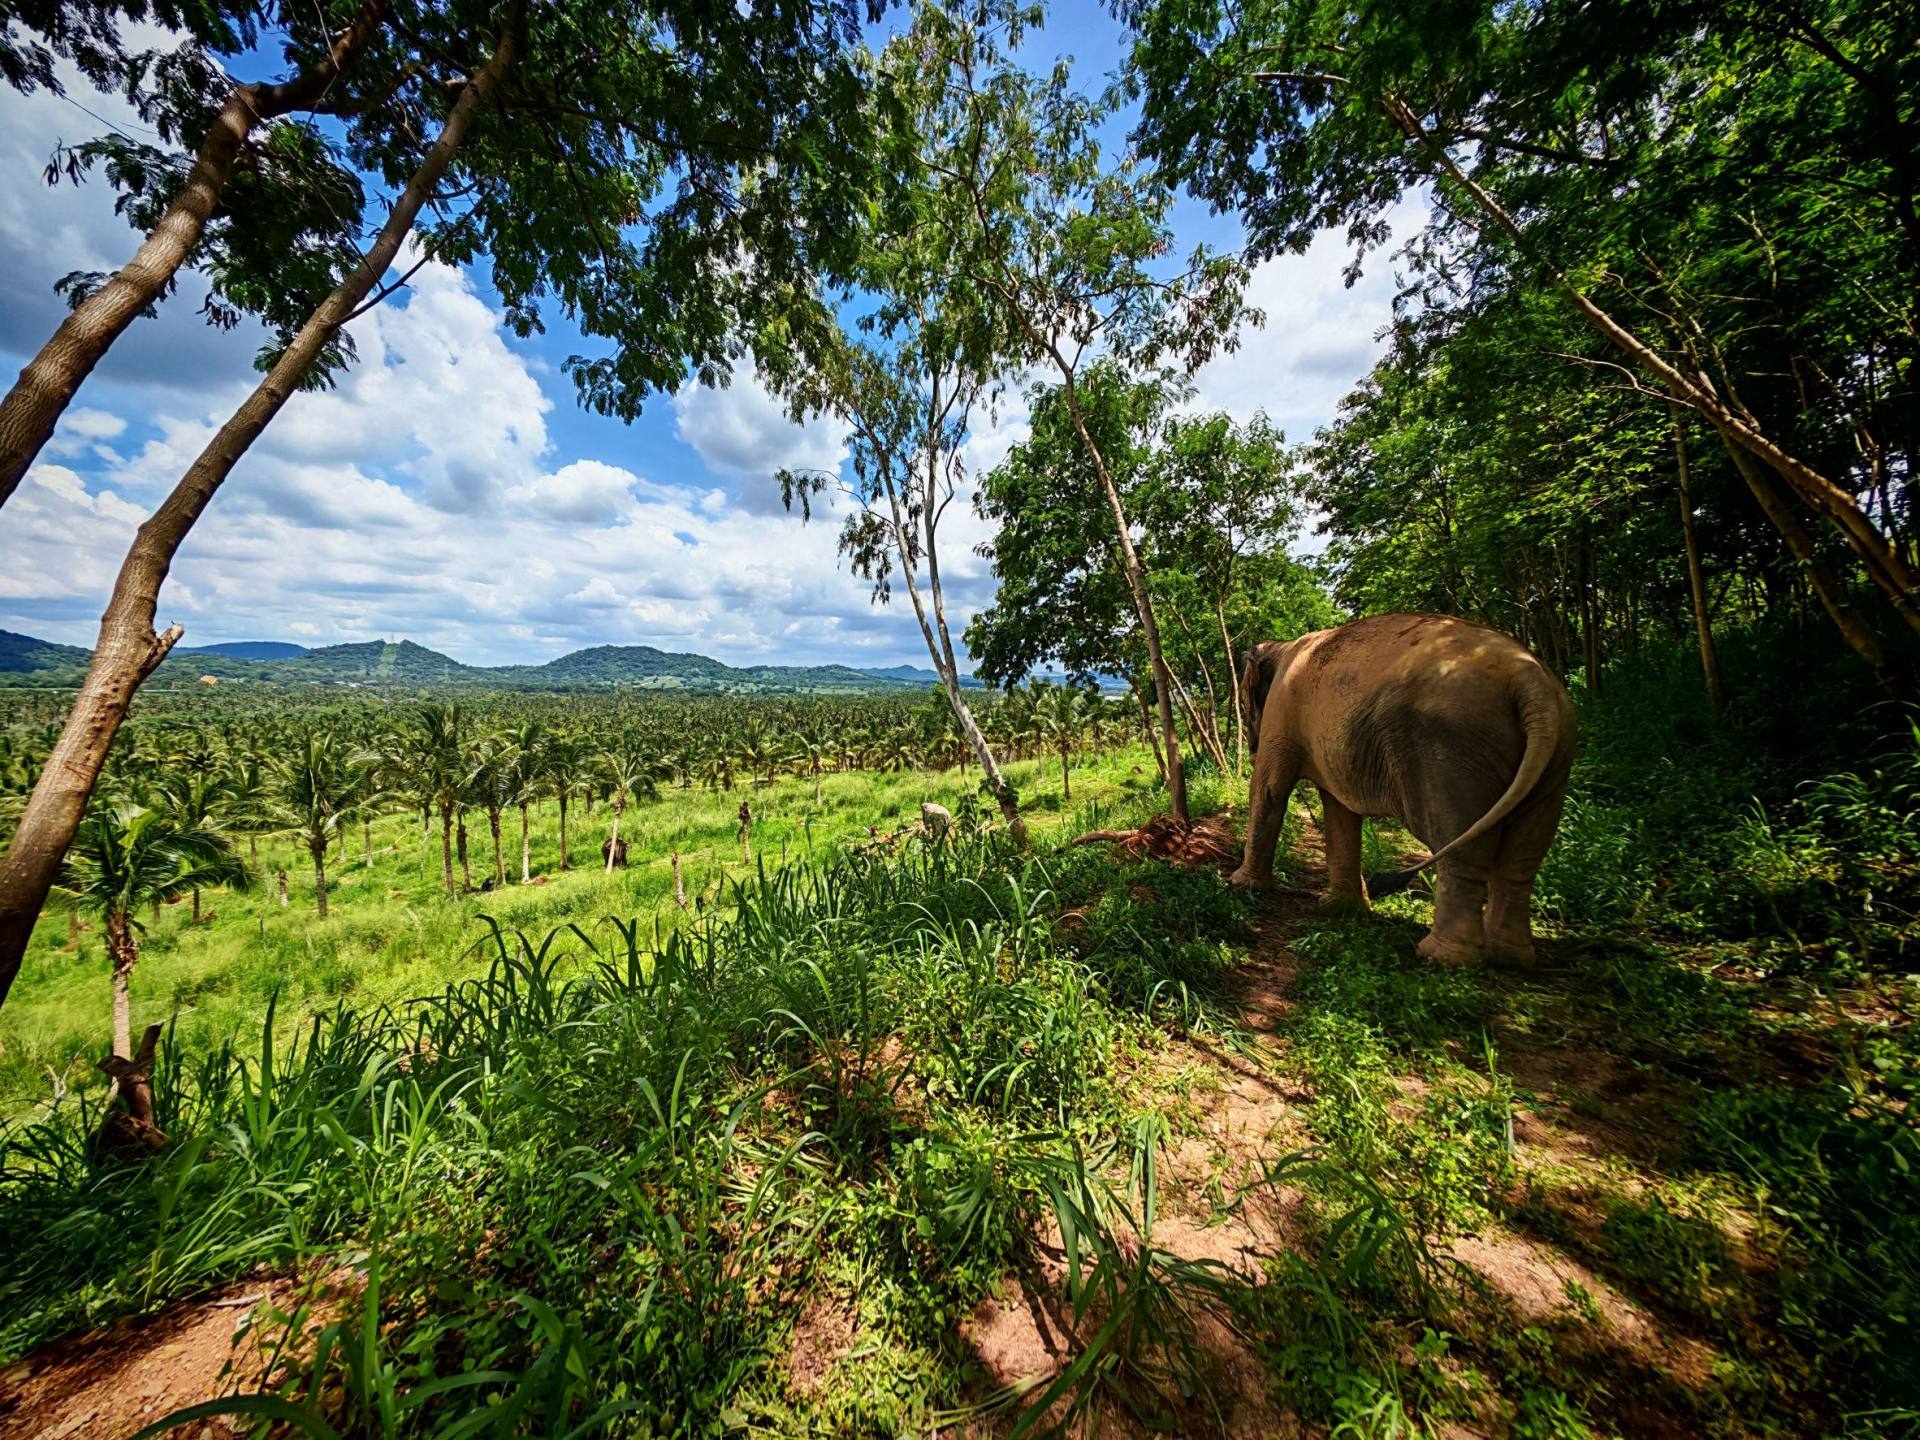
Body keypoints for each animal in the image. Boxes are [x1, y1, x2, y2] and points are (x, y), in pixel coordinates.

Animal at [1231, 613, 1577, 965]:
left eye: (1243, 705)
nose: (1250, 749)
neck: (1282, 646)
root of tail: (1530, 681)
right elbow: (1339, 809)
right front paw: (1340, 906)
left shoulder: (1281, 707)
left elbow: (1270, 789)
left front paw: (1243, 884)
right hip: (1555, 755)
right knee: (1523, 856)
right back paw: (1509, 957)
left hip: (1450, 750)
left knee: (1459, 841)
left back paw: (1440, 956)